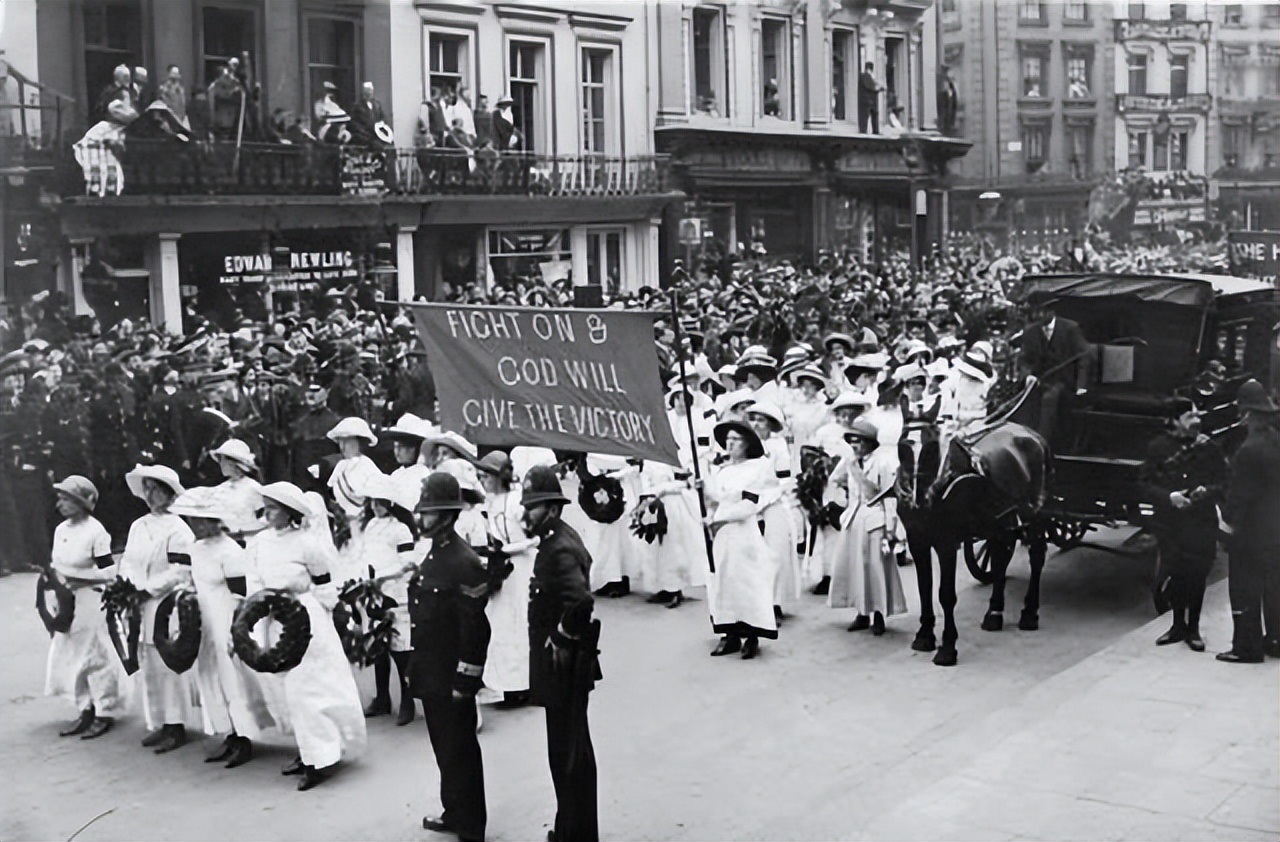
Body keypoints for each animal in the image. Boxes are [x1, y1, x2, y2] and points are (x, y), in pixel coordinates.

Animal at [901, 419, 1049, 660]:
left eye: (931, 449)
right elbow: (925, 588)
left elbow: (946, 595)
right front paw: (924, 635)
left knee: (1036, 557)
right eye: (902, 447)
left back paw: (1029, 613)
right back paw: (994, 613)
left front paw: (947, 647)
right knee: (1000, 559)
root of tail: (1035, 436)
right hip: (1000, 522)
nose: (915, 498)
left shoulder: (946, 543)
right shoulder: (917, 540)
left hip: (1034, 517)